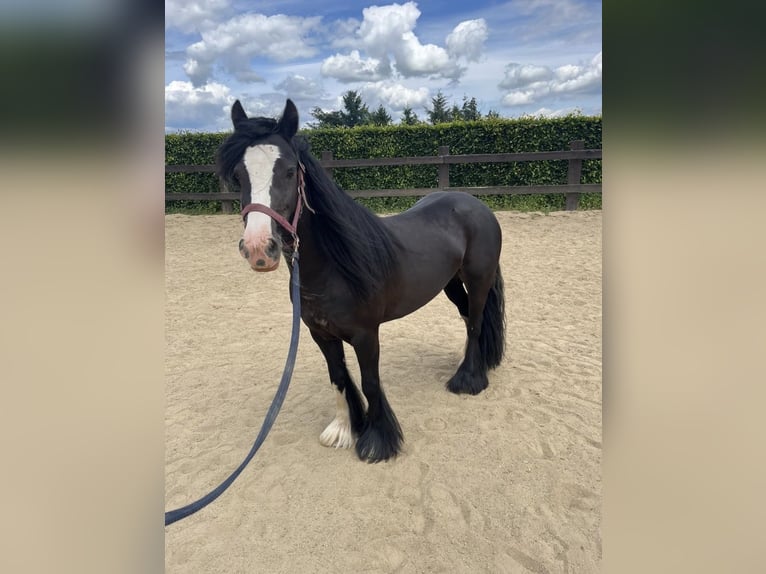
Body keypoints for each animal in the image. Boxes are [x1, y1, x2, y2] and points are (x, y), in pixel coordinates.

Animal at [216, 99, 506, 463]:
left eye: (289, 171)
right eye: (239, 175)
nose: (258, 248)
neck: (333, 268)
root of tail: (476, 204)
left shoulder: (367, 335)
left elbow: (369, 382)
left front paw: (378, 441)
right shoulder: (320, 334)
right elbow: (338, 377)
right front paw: (343, 430)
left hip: (479, 279)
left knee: (476, 322)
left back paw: (468, 379)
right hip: (451, 284)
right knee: (467, 318)